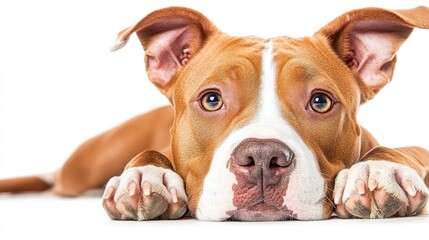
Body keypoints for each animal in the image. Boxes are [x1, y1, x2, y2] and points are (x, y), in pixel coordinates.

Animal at [0, 5, 428, 220]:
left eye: (320, 101)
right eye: (211, 100)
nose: (262, 158)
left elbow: (403, 150)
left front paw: (377, 170)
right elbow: (151, 156)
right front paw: (142, 176)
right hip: (85, 166)